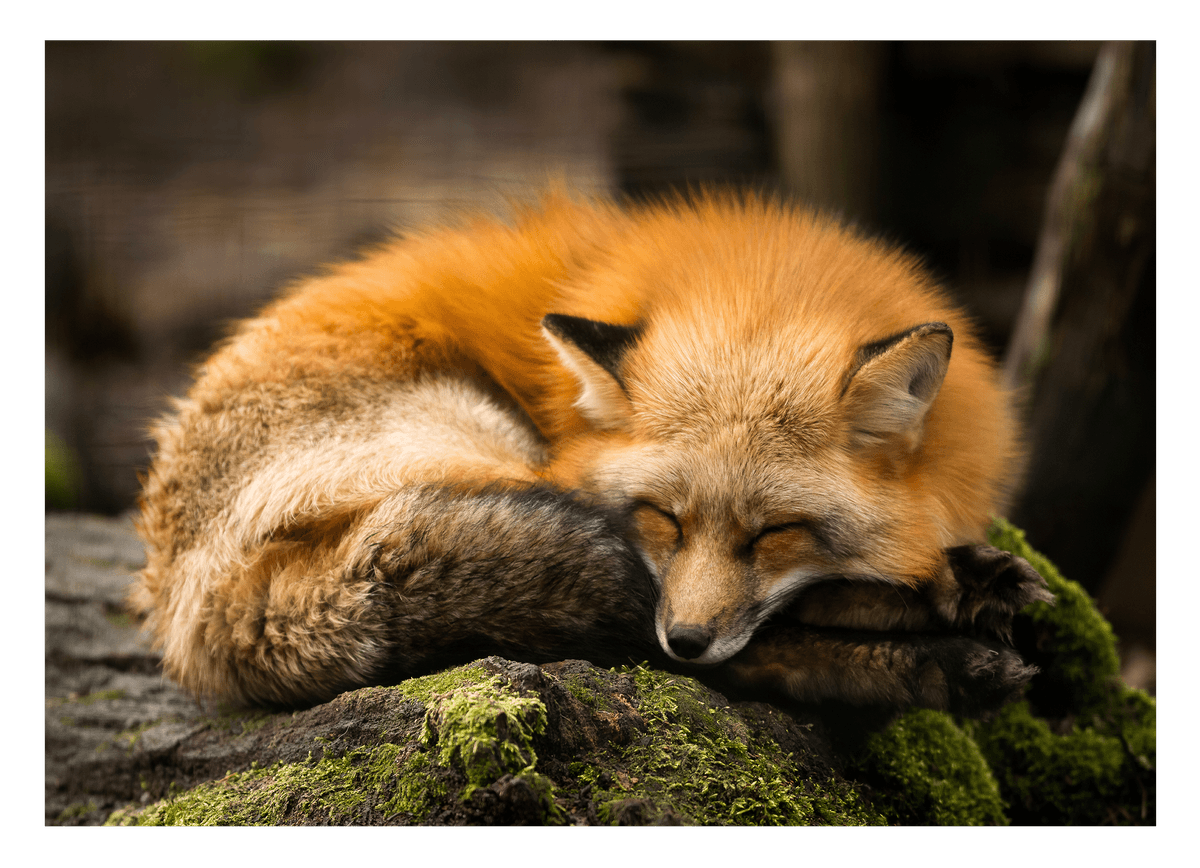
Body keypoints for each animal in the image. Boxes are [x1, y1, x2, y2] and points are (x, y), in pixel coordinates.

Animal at [131, 188, 1051, 713]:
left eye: (775, 534)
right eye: (663, 519)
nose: (688, 637)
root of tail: (184, 601)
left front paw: (959, 578)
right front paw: (943, 594)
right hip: (486, 455)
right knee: (700, 649)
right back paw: (941, 652)